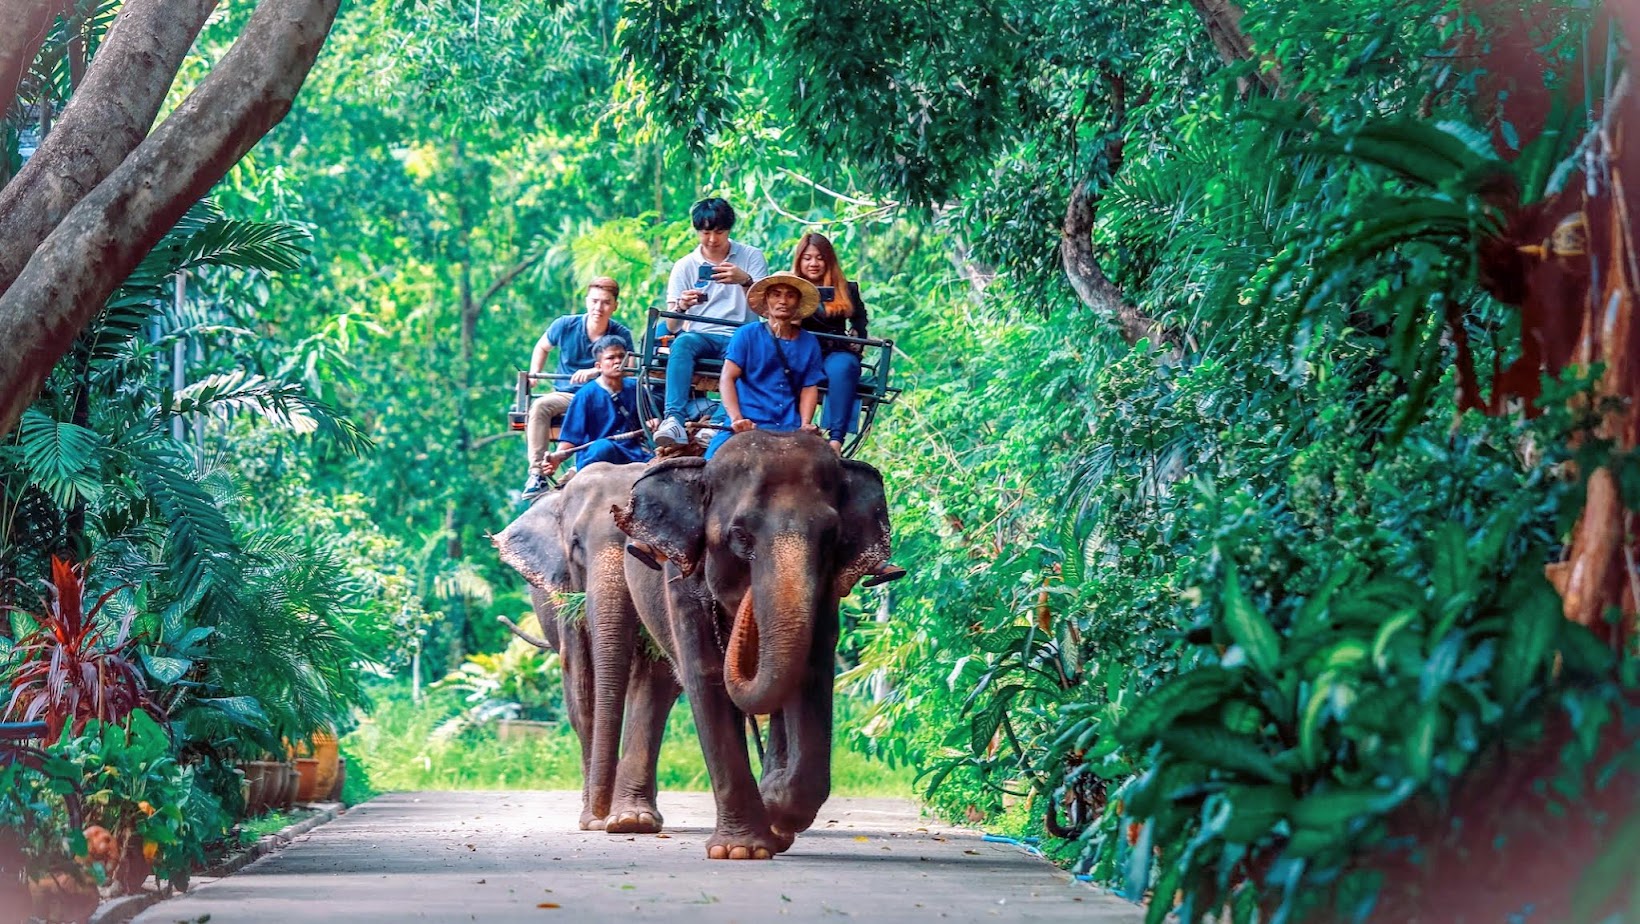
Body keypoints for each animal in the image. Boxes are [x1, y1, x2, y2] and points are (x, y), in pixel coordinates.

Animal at [492, 462, 681, 833]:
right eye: (576, 543)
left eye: (641, 542)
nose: (599, 811)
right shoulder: (565, 591)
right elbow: (581, 678)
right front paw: (595, 820)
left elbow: (655, 678)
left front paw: (630, 820)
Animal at [614, 429, 892, 860]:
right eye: (740, 536)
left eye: (831, 537)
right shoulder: (680, 582)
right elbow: (707, 680)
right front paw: (740, 850)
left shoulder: (827, 594)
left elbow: (811, 673)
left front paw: (775, 805)